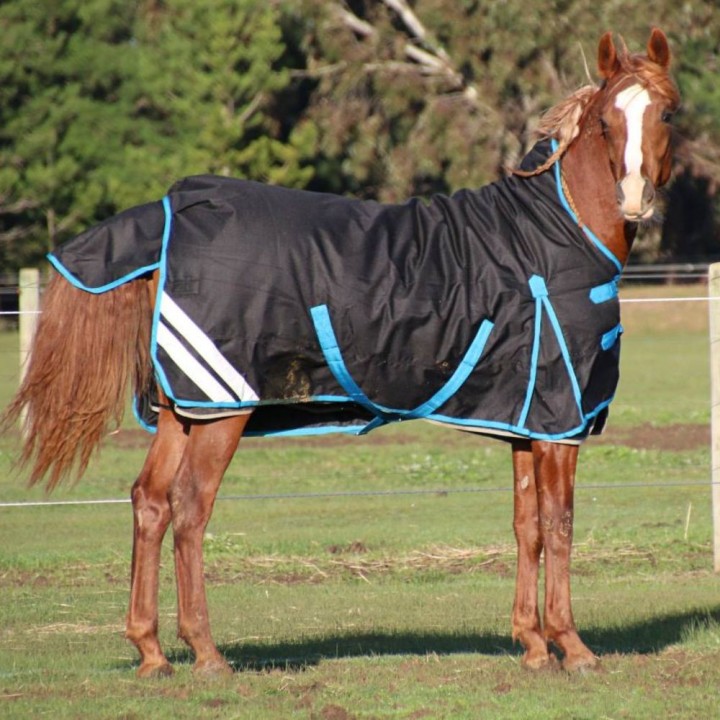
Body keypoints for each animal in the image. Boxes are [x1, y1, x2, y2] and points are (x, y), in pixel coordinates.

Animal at [3, 28, 679, 676]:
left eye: (667, 112)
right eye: (605, 121)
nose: (635, 199)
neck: (551, 235)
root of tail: (175, 210)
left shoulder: (525, 419)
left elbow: (527, 527)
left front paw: (533, 646)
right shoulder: (561, 422)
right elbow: (560, 525)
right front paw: (573, 646)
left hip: (185, 407)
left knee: (149, 500)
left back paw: (151, 652)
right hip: (224, 407)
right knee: (190, 507)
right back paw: (207, 654)